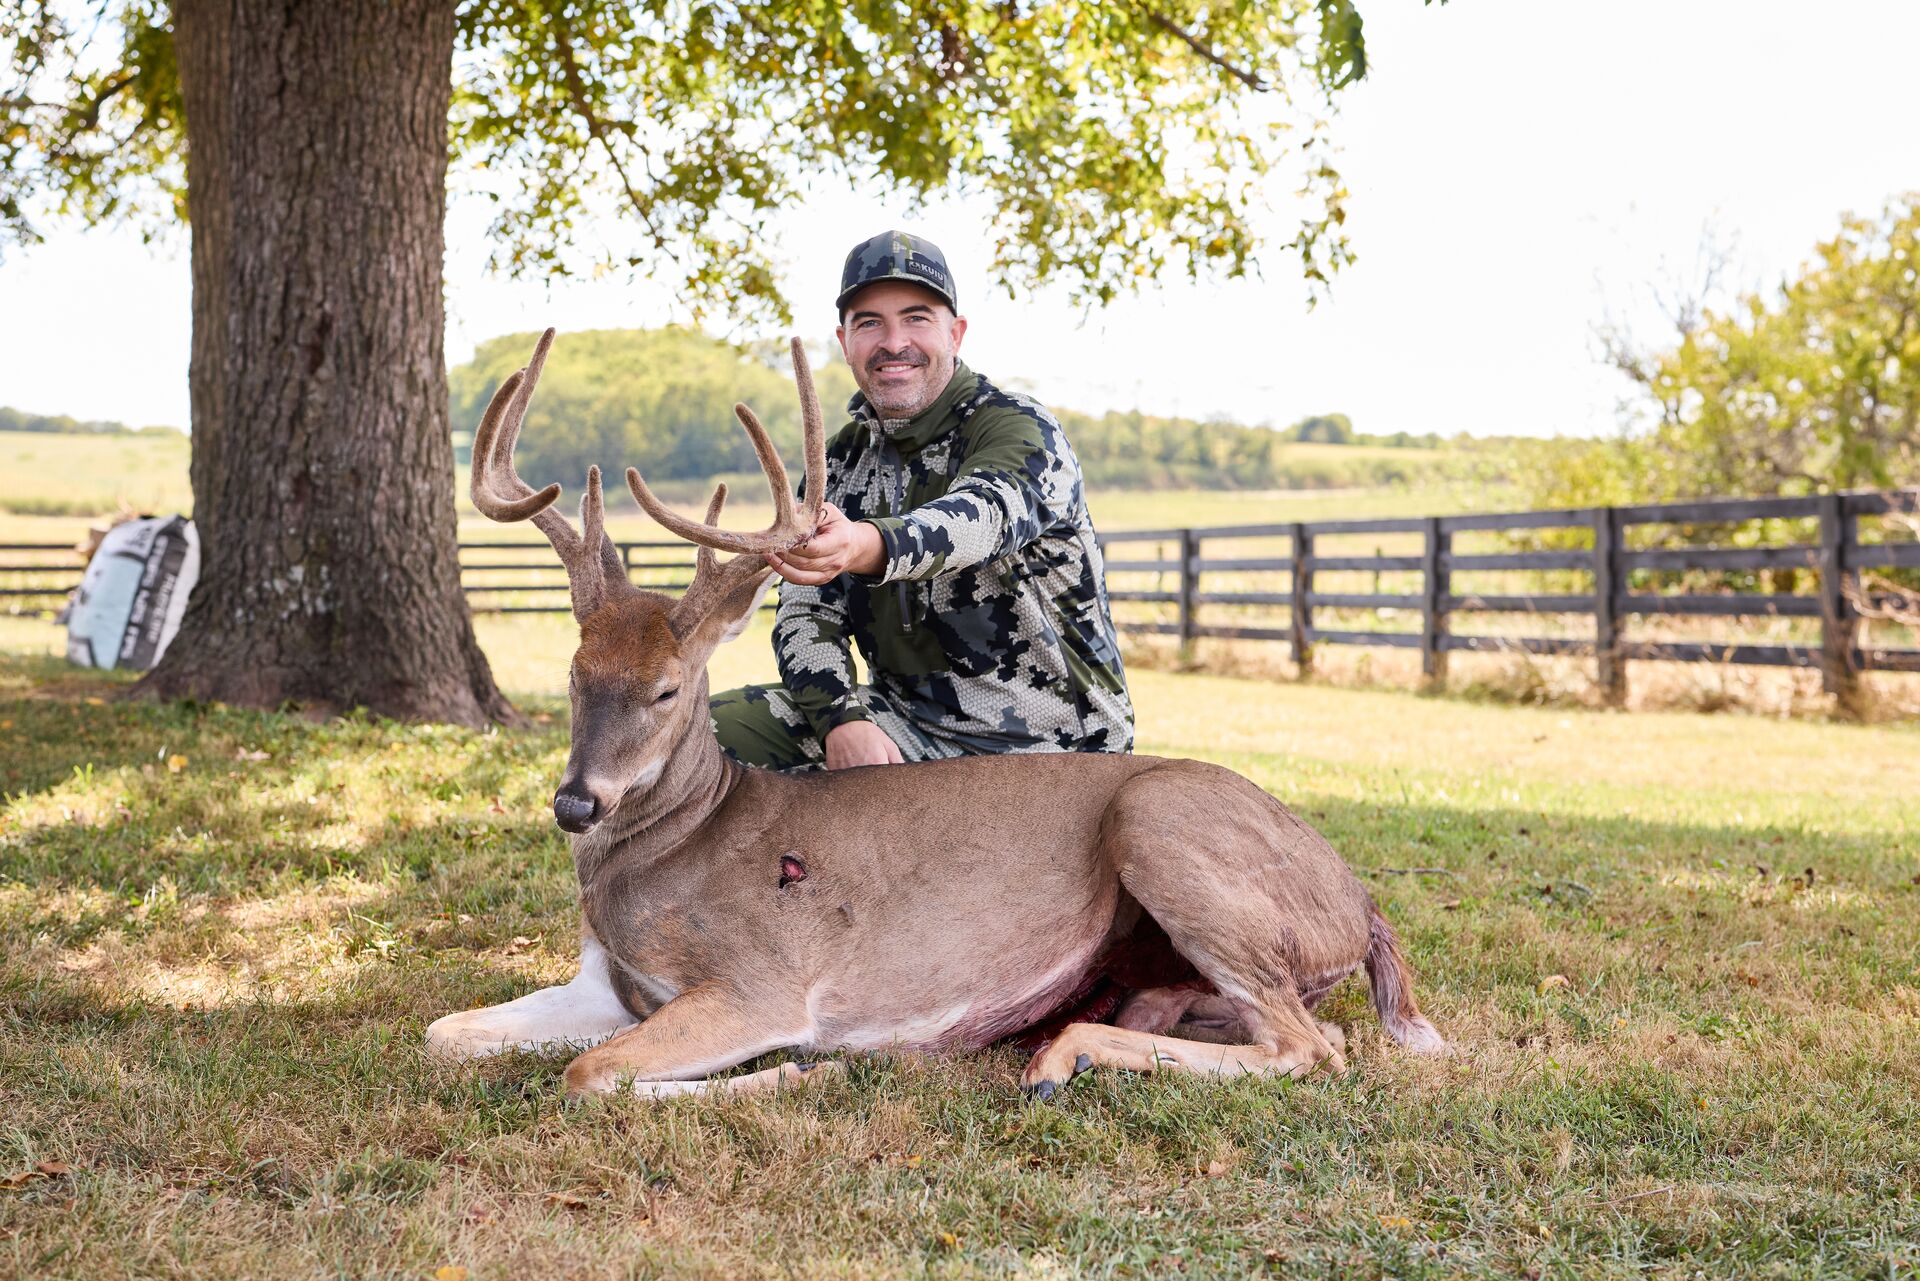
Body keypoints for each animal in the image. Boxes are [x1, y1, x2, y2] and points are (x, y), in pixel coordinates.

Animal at [425, 329, 1445, 1101]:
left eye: (669, 688)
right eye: (574, 673)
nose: (576, 803)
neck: (675, 847)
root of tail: (1361, 904)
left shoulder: (762, 982)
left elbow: (590, 1074)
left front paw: (802, 1073)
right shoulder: (601, 984)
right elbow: (446, 1032)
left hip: (1159, 819)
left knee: (1314, 1046)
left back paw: (1059, 1057)